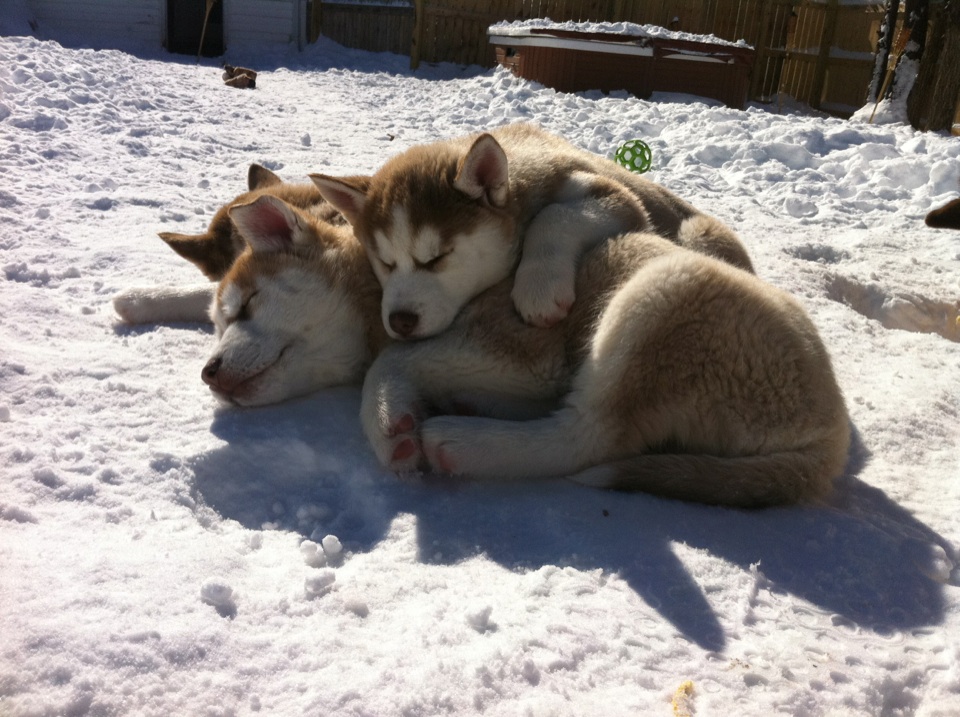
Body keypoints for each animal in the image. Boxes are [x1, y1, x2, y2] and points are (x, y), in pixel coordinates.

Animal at [312, 124, 752, 340]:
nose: (401, 321)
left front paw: (539, 287)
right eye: (384, 263)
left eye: (438, 258)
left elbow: (553, 216)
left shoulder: (618, 198)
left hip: (699, 230)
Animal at [360, 227, 848, 506]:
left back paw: (462, 441)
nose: (399, 319)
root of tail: (831, 438)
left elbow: (393, 359)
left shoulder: (529, 356)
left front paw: (389, 425)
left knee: (585, 437)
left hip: (660, 296)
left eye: (431, 258)